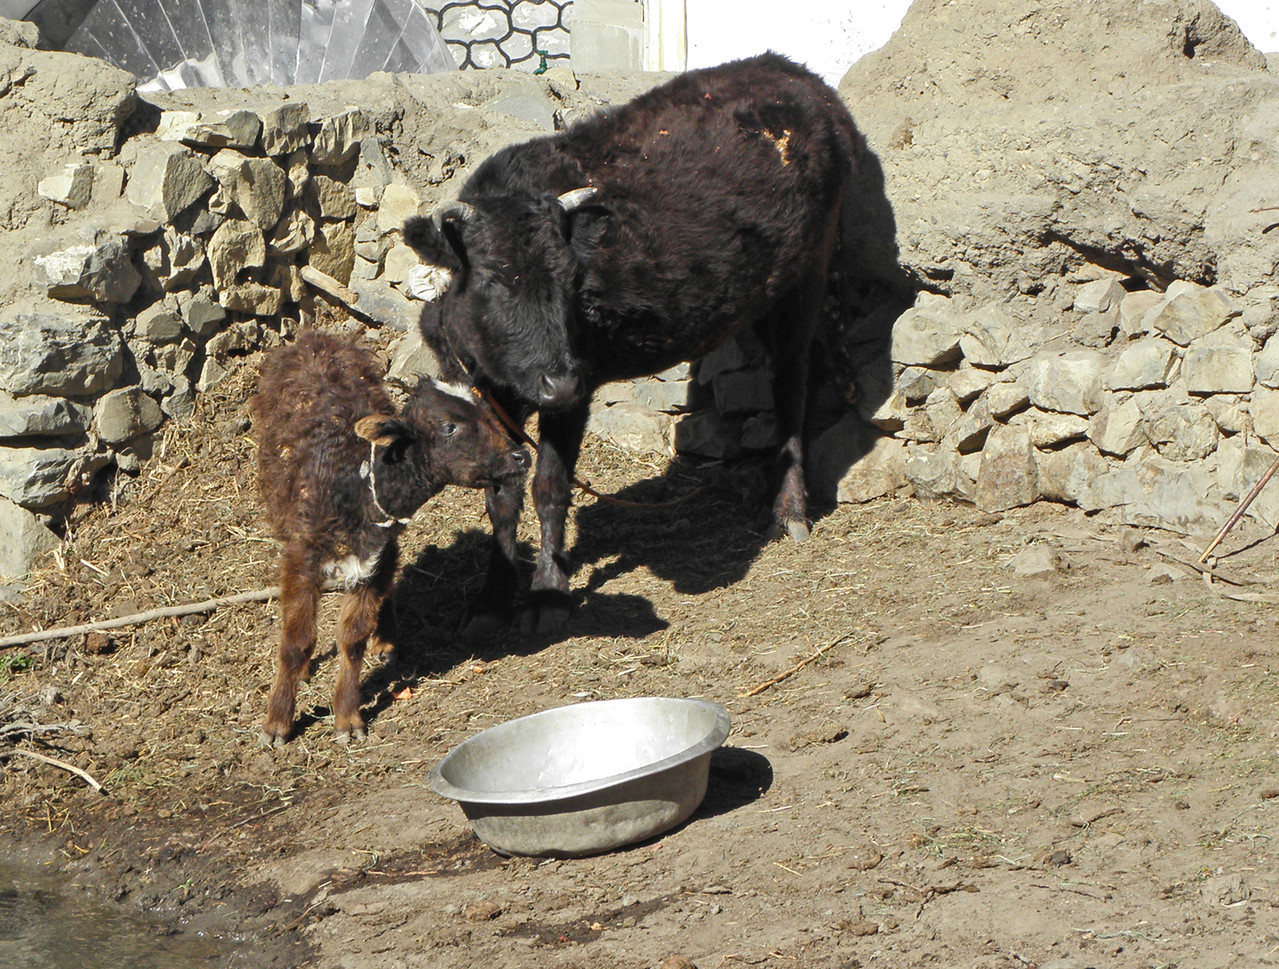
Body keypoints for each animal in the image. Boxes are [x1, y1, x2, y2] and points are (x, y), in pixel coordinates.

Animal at [249, 329, 529, 746]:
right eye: (449, 426)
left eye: (487, 412)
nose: (520, 456)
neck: (357, 480)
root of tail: (315, 338)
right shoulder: (303, 555)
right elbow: (296, 642)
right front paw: (278, 722)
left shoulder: (374, 558)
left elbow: (353, 639)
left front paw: (347, 717)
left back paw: (387, 638)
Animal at [404, 51, 864, 636]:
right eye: (492, 279)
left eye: (572, 279)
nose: (558, 381)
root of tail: (792, 72)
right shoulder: (493, 393)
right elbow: (500, 494)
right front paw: (490, 600)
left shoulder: (576, 391)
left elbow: (550, 486)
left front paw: (549, 594)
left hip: (808, 275)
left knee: (792, 384)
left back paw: (789, 510)